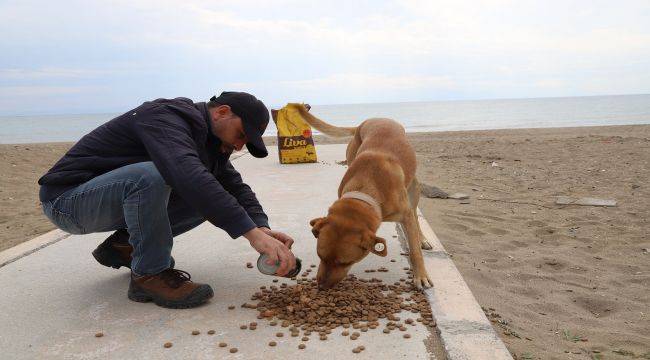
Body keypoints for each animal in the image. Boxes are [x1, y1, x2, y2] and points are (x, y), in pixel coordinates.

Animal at [288, 104, 432, 290]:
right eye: (320, 256)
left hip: (414, 188)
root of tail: (367, 121)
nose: (321, 287)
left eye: (345, 262)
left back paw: (422, 239)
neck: (366, 186)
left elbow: (415, 251)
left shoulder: (405, 215)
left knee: (415, 215)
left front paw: (420, 275)